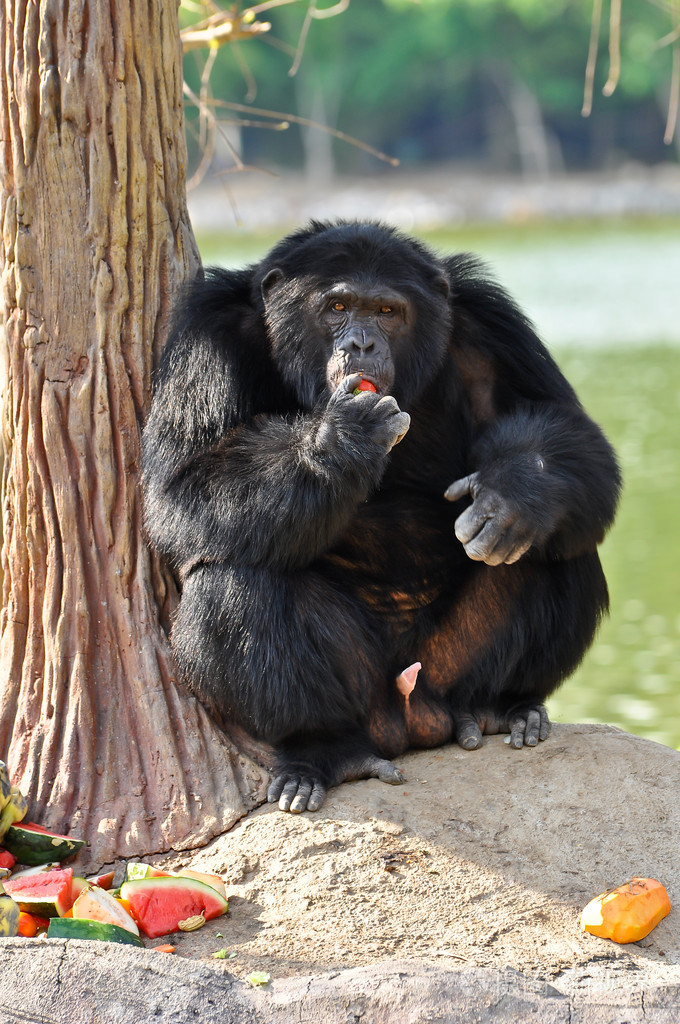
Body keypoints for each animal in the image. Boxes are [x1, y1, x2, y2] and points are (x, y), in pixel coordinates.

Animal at [143, 220, 622, 811]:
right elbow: (182, 482)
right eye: (338, 306)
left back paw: (497, 704)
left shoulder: (491, 325)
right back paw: (323, 750)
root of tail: (411, 712)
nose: (362, 343)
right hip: (366, 692)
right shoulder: (207, 342)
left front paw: (512, 494)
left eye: (387, 311)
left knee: (552, 548)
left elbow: (570, 429)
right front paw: (342, 440)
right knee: (231, 581)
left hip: (445, 667)